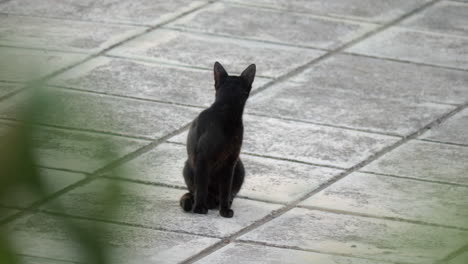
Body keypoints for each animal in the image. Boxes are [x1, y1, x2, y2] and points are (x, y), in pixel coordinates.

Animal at [179, 62, 256, 219]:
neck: (226, 112)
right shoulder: (203, 158)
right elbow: (201, 185)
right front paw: (200, 208)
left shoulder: (230, 161)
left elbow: (225, 190)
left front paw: (225, 210)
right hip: (188, 165)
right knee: (195, 191)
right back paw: (199, 202)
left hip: (239, 166)